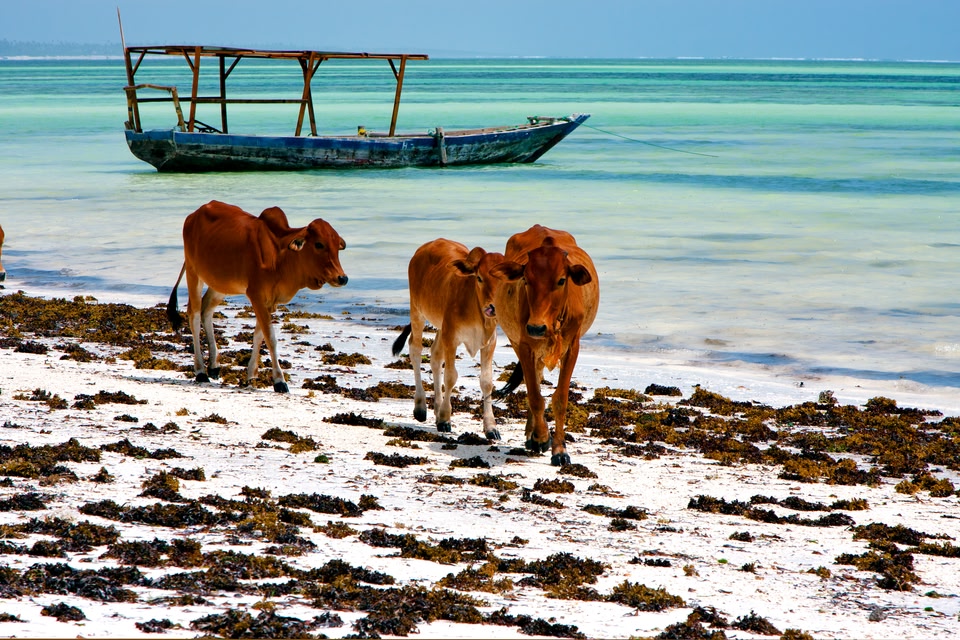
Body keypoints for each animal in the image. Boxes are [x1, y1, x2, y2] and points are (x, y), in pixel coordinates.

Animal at [167, 200, 347, 392]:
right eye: (319, 244)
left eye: (337, 246)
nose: (342, 278)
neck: (280, 256)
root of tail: (194, 214)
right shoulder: (256, 295)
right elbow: (271, 338)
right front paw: (279, 381)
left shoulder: (269, 302)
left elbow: (259, 335)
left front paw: (251, 376)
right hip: (194, 273)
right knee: (194, 315)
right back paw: (201, 371)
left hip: (220, 283)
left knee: (206, 310)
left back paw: (214, 366)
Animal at [392, 239, 505, 440]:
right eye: (479, 278)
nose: (492, 307)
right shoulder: (451, 336)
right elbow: (451, 376)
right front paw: (445, 419)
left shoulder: (489, 342)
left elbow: (486, 382)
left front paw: (491, 427)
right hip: (417, 311)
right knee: (415, 350)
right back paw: (421, 407)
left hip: (440, 327)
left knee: (435, 356)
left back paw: (436, 408)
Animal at [490, 225, 599, 466]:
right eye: (526, 279)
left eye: (561, 280)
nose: (536, 328)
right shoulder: (524, 345)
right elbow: (535, 396)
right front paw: (540, 437)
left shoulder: (572, 347)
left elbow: (560, 399)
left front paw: (559, 449)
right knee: (535, 384)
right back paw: (533, 435)